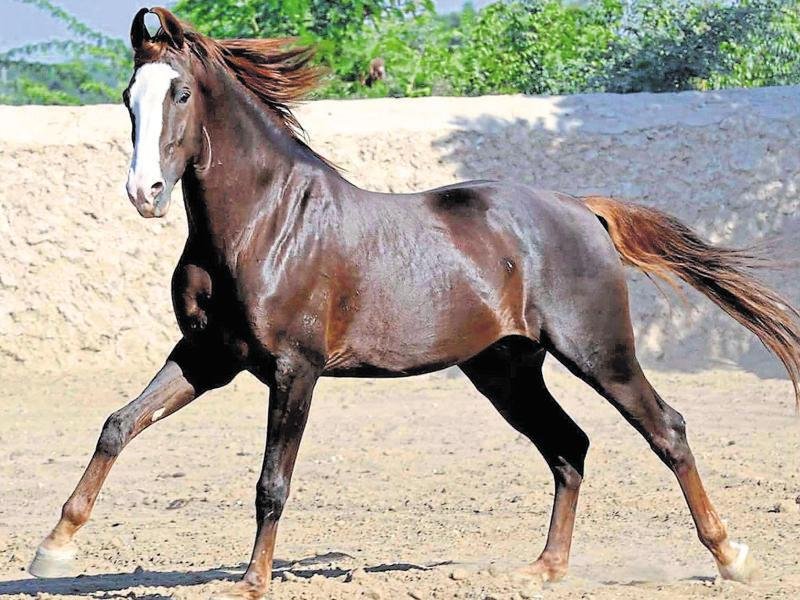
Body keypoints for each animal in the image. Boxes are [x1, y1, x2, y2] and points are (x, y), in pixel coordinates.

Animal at [29, 7, 800, 599]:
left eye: (181, 95)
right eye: (128, 95)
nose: (146, 193)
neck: (263, 223)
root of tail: (582, 209)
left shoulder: (294, 369)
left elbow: (272, 481)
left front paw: (250, 582)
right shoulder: (207, 357)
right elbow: (118, 425)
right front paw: (53, 548)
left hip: (598, 353)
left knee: (665, 429)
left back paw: (731, 557)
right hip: (504, 370)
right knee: (569, 446)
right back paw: (545, 568)